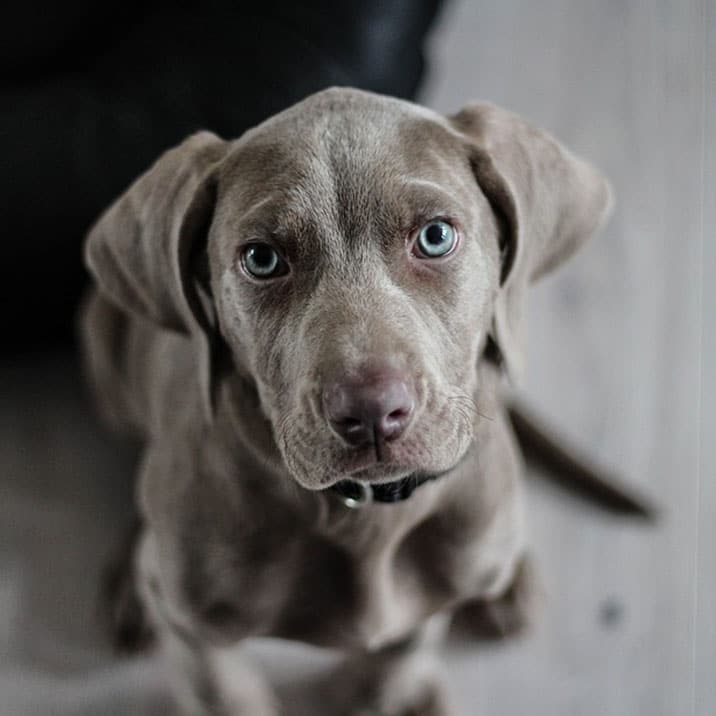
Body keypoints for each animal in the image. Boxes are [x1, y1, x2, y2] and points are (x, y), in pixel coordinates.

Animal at [81, 89, 612, 716]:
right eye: (261, 259)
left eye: (435, 236)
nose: (372, 414)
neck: (364, 515)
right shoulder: (193, 629)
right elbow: (225, 691)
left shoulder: (427, 597)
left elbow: (402, 650)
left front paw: (388, 693)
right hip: (102, 341)